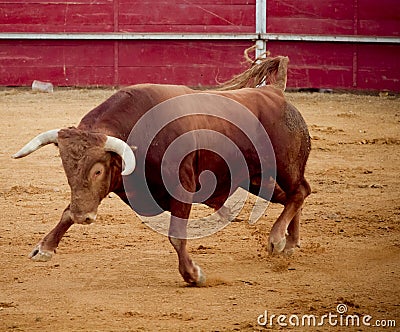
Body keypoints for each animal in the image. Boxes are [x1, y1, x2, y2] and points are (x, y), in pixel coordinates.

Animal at [13, 76, 310, 286]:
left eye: (97, 171)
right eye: (66, 167)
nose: (83, 217)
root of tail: (276, 93)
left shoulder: (184, 187)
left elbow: (176, 236)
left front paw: (193, 275)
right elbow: (65, 212)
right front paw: (44, 248)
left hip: (283, 166)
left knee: (300, 191)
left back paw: (277, 240)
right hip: (259, 179)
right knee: (292, 196)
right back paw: (290, 243)